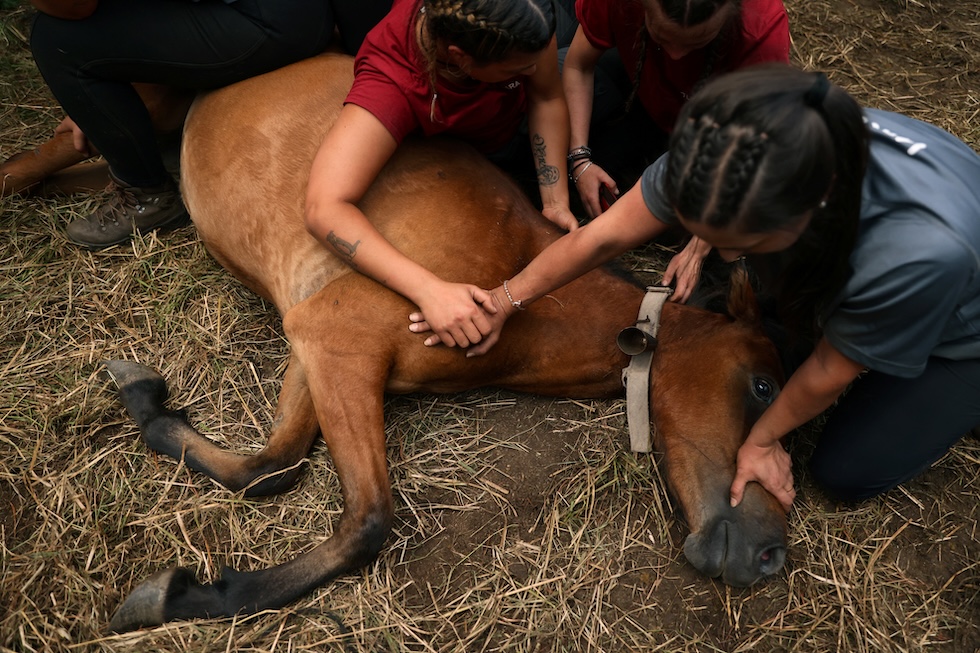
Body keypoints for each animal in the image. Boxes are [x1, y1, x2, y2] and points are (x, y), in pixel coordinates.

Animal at [91, 53, 788, 632]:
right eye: (763, 384)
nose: (771, 554)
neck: (524, 290)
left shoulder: (318, 347)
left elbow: (270, 467)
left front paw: (145, 402)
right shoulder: (335, 339)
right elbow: (365, 520)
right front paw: (177, 597)